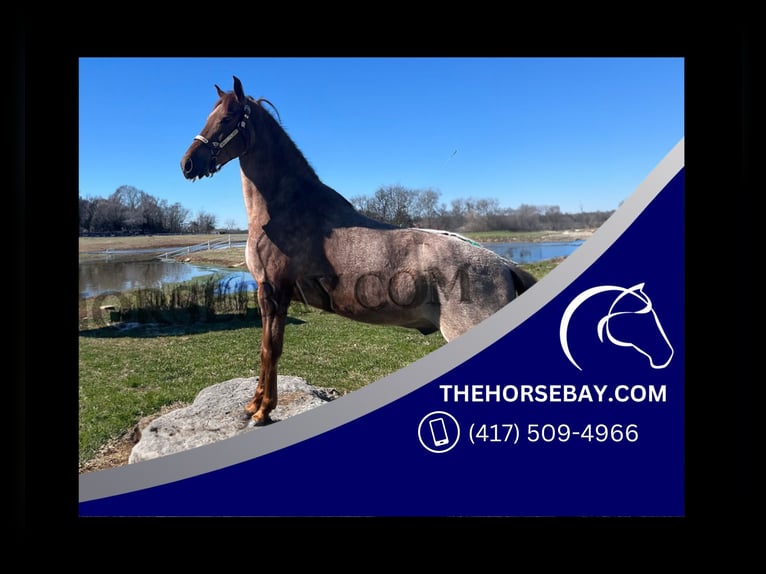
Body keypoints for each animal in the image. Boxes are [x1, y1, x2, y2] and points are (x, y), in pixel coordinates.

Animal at [182, 75, 536, 428]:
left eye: (227, 118)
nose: (188, 163)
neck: (284, 211)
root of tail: (504, 265)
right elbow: (265, 350)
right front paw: (253, 405)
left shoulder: (272, 293)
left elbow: (271, 349)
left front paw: (262, 410)